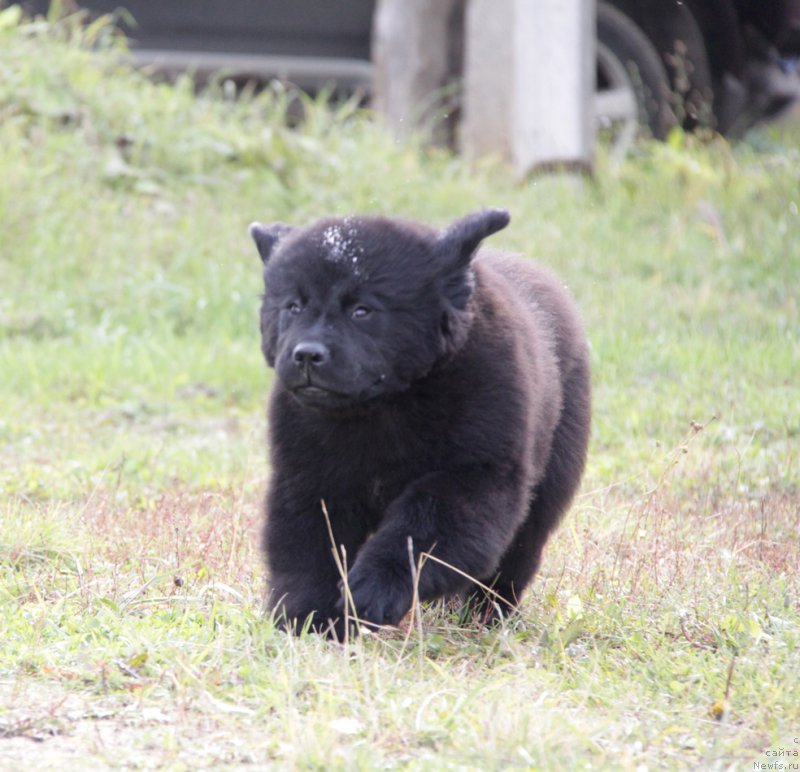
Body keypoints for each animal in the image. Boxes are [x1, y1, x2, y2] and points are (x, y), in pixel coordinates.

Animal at [250, 208, 592, 636]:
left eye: (362, 310)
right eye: (293, 306)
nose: (307, 355)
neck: (385, 406)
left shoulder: (474, 476)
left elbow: (419, 531)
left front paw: (374, 591)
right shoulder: (310, 478)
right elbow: (310, 548)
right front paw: (310, 621)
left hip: (547, 485)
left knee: (515, 558)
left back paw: (483, 618)